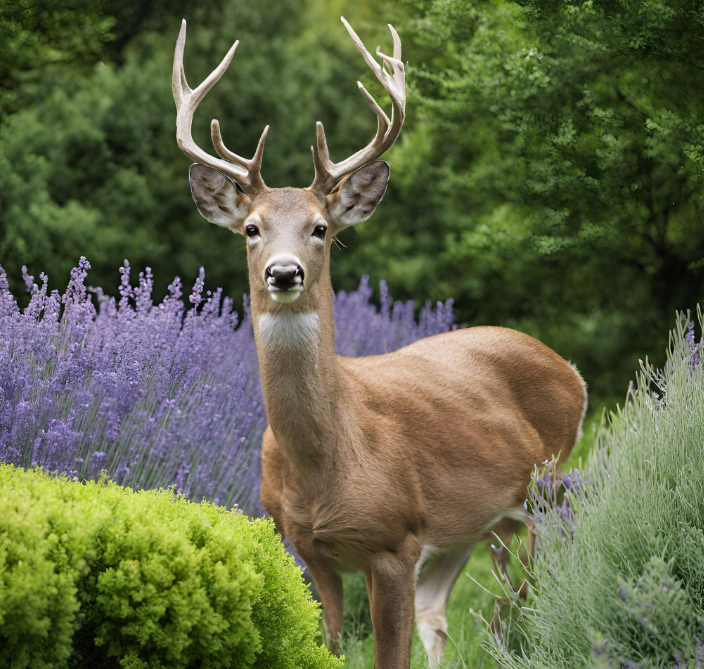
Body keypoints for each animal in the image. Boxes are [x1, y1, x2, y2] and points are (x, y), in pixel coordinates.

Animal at [173, 17, 588, 669]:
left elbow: (389, 653)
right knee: (445, 614)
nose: (284, 272)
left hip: (542, 491)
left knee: (520, 603)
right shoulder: (308, 548)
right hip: (468, 524)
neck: (326, 462)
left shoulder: (395, 541)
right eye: (251, 228)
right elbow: (334, 644)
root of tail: (570, 370)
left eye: (321, 227)